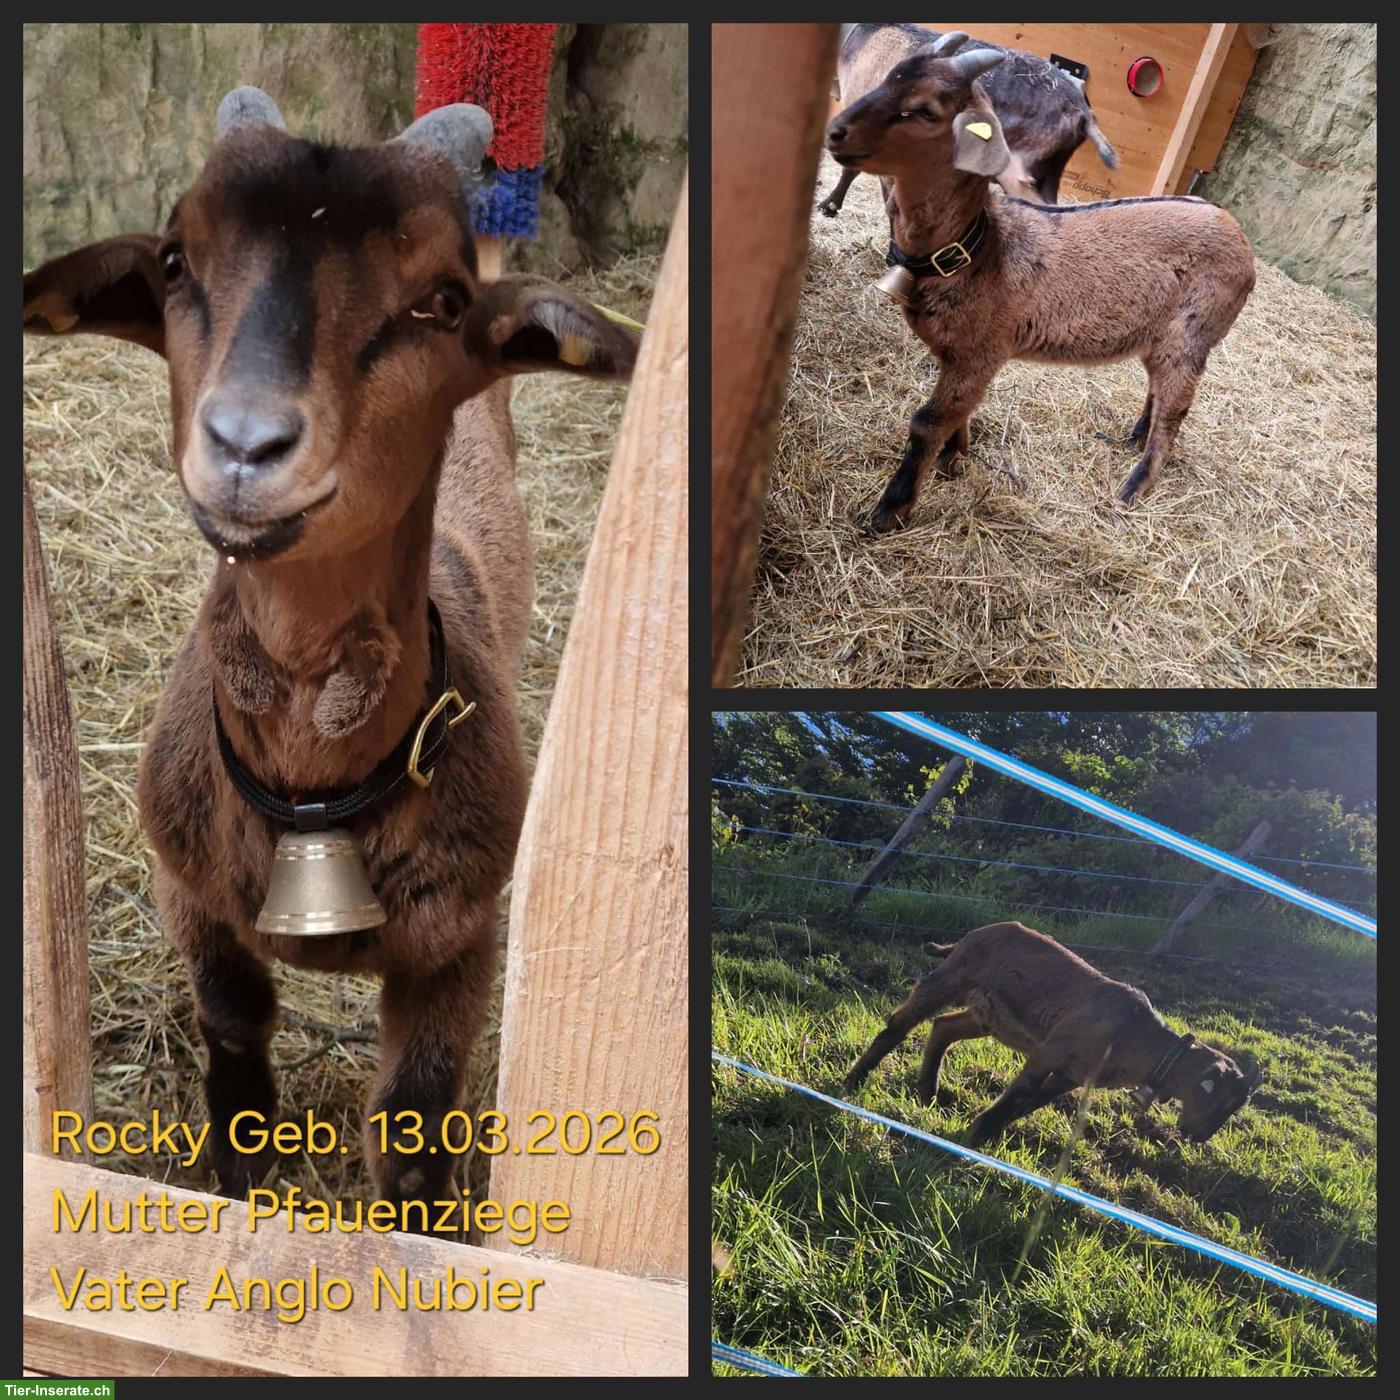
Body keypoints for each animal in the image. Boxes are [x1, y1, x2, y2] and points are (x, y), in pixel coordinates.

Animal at [22, 88, 638, 1204]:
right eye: (173, 259)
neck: (312, 793)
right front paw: (237, 1168)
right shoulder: (190, 893)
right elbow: (233, 1025)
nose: (245, 444)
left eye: (442, 299)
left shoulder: (460, 941)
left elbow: (416, 1112)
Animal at [824, 46, 1255, 530]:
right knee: (1159, 391)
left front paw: (889, 512)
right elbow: (959, 412)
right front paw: (954, 459)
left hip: (1193, 332)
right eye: (891, 77)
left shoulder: (981, 351)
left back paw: (1132, 488)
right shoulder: (957, 355)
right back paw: (1133, 438)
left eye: (927, 110)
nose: (836, 131)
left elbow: (928, 421)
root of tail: (1238, 235)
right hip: (1160, 336)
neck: (977, 247)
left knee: (1175, 408)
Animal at [845, 921, 1261, 1148]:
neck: (1140, 1042)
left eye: (1234, 1106)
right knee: (903, 1021)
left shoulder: (1073, 1075)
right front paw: (976, 1135)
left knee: (943, 1027)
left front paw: (987, 1136)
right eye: (1214, 1095)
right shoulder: (1053, 1050)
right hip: (954, 976)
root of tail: (973, 934)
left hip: (988, 1014)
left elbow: (1032, 1103)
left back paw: (927, 1093)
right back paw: (855, 1080)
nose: (1198, 1135)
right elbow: (1021, 1093)